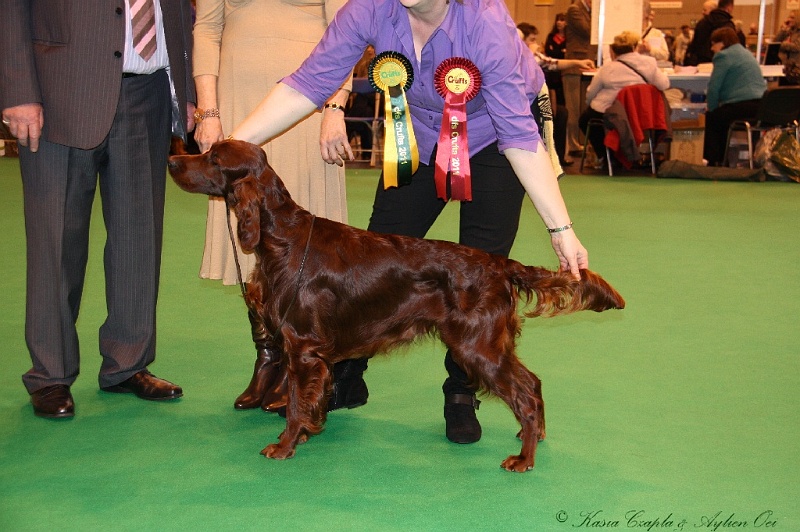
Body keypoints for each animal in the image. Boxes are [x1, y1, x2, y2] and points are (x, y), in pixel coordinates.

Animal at [167, 139, 624, 472]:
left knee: (525, 393)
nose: (172, 159)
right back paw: (535, 437)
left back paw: (523, 459)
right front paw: (309, 429)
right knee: (533, 382)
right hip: (489, 344)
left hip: (477, 346)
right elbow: (309, 399)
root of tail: (498, 263)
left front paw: (284, 445)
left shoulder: (302, 346)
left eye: (212, 157)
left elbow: (297, 403)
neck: (283, 236)